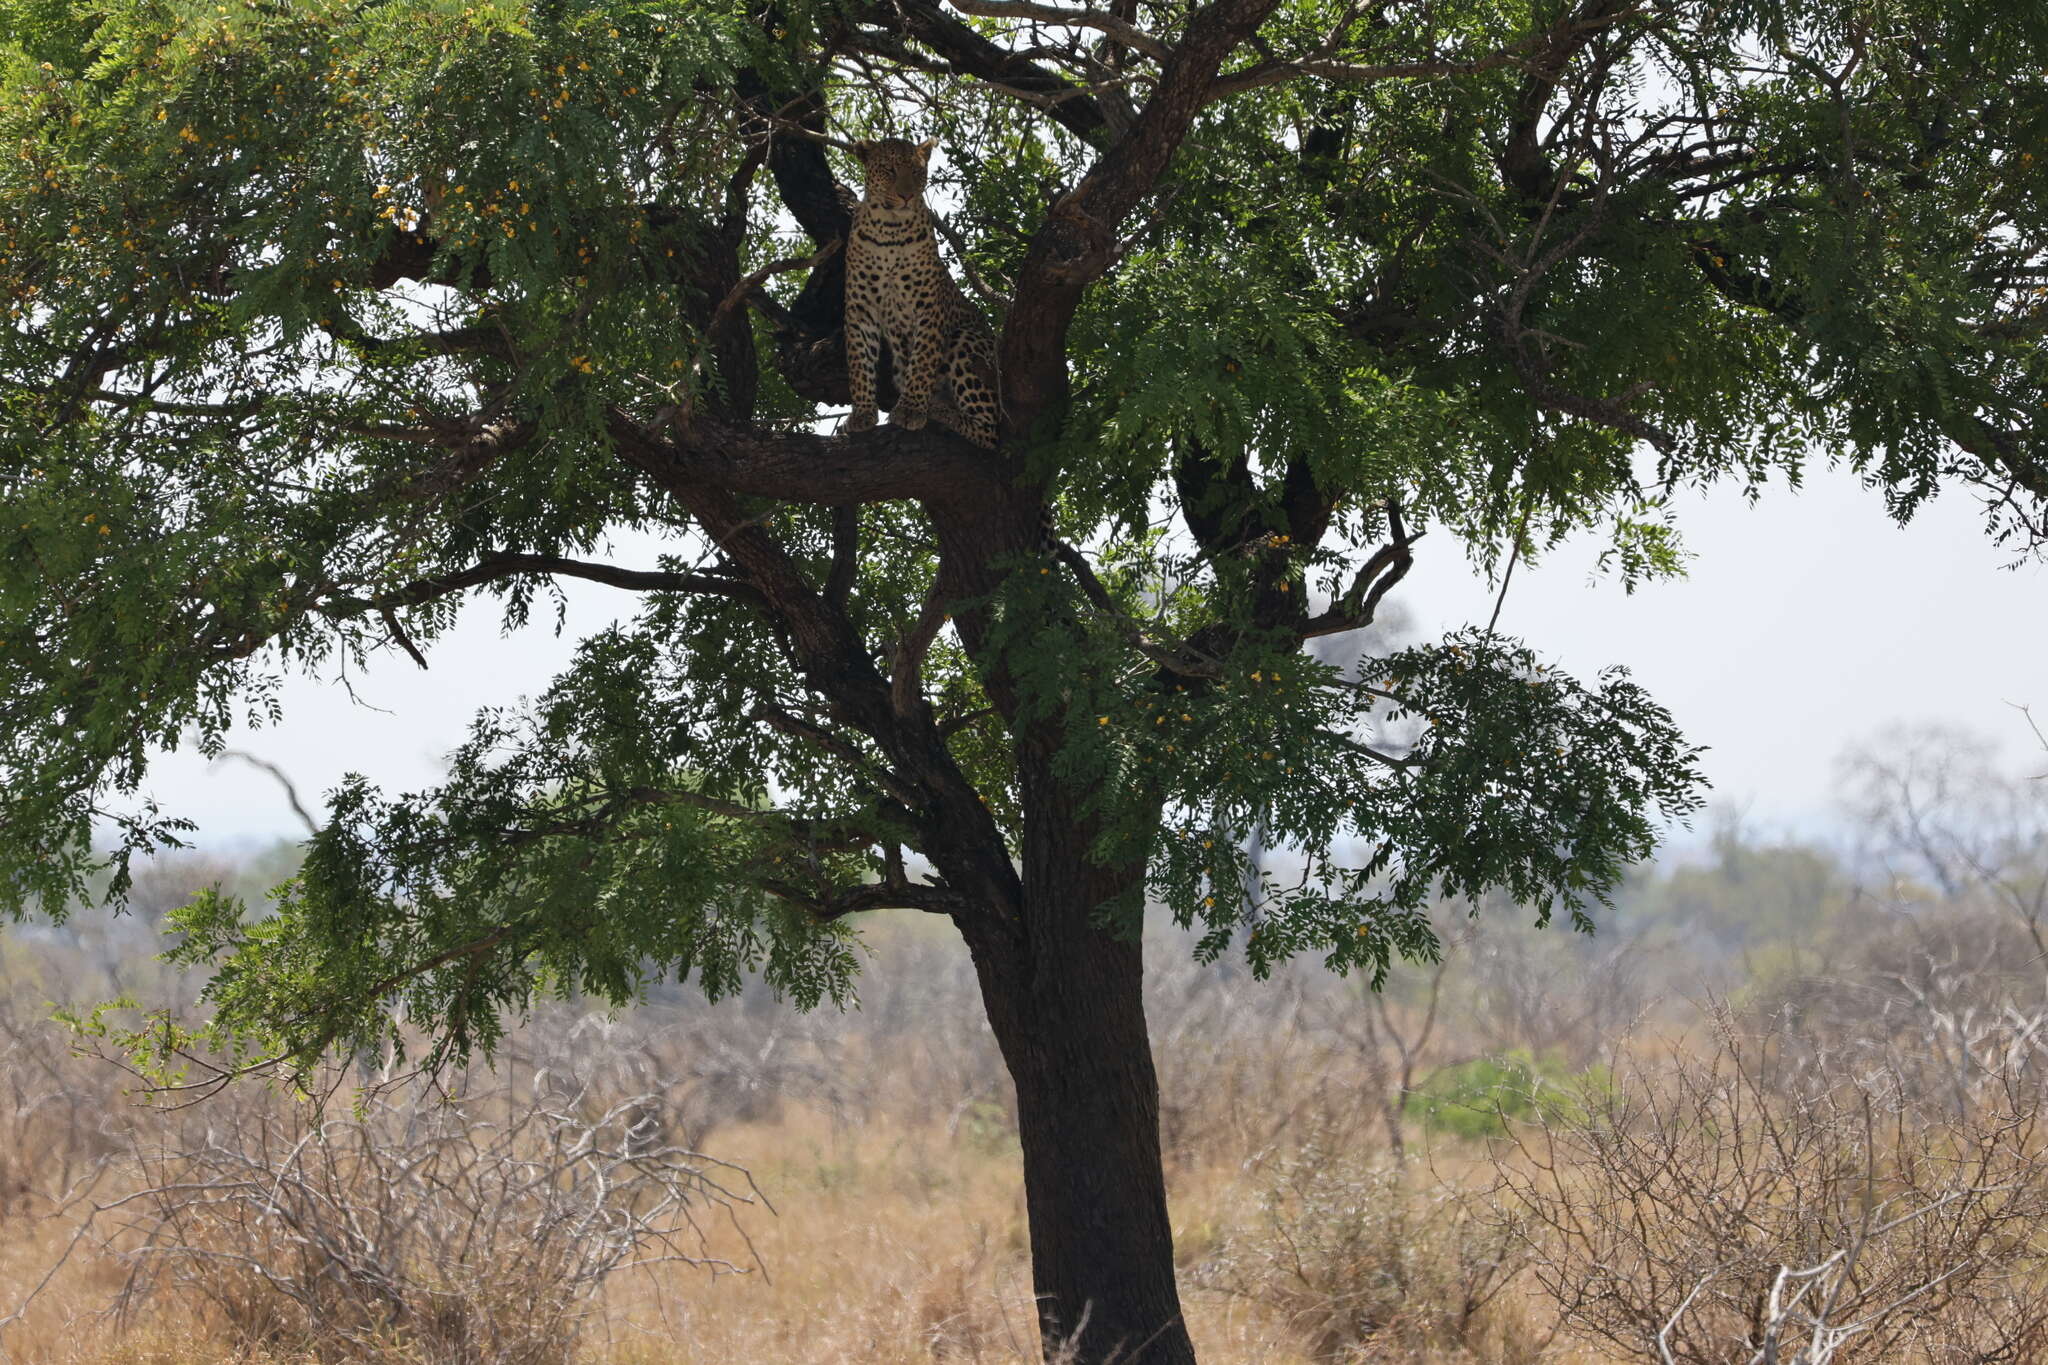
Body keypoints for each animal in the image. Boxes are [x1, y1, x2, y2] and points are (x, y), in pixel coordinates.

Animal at [839, 139, 999, 448]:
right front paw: (862, 413)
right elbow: (859, 361)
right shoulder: (861, 307)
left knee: (992, 434)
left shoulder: (928, 305)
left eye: (916, 171)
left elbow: (923, 359)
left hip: (967, 341)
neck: (889, 228)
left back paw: (941, 411)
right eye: (889, 170)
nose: (906, 195)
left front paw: (911, 409)